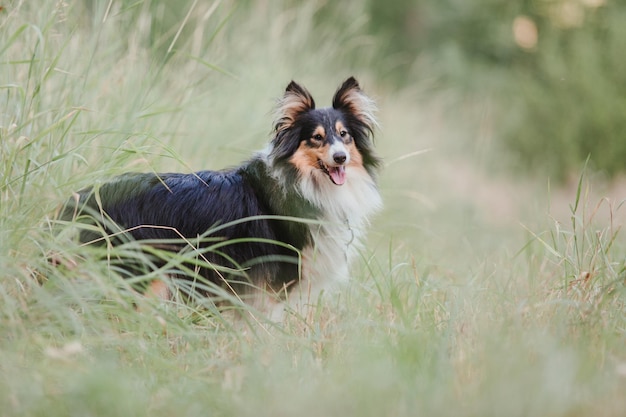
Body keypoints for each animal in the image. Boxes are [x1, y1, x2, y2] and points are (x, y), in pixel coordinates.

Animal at [58, 77, 380, 318]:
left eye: (344, 135)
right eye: (316, 137)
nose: (340, 158)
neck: (302, 182)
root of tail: (84, 198)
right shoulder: (273, 279)